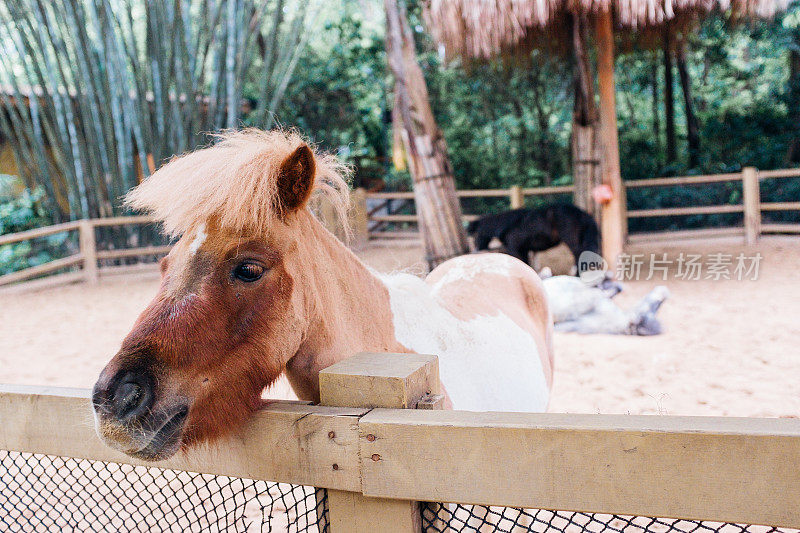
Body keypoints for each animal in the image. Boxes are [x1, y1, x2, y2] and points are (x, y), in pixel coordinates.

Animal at [468, 204, 600, 270]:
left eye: (476, 234)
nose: (476, 250)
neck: (509, 224)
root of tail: (582, 213)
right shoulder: (524, 250)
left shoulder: (515, 249)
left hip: (573, 242)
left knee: (579, 255)